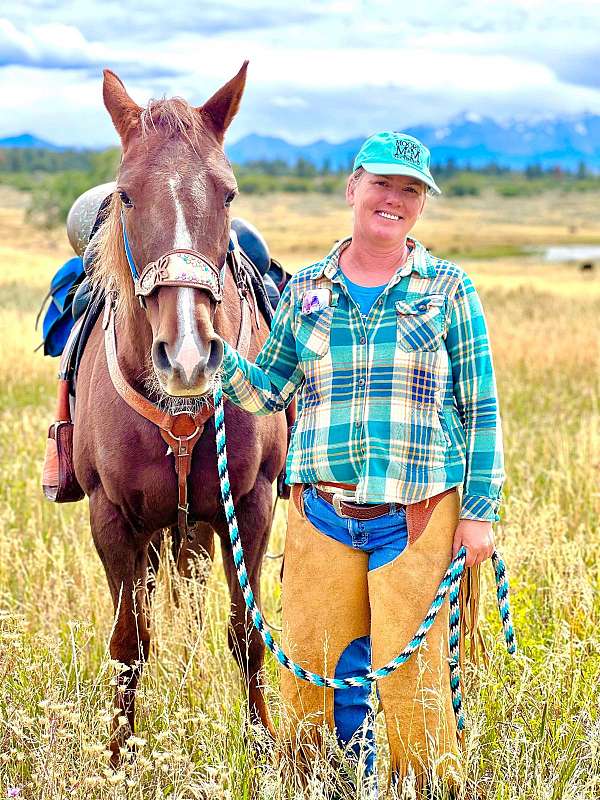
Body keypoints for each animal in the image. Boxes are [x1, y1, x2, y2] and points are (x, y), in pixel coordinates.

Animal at [72, 62, 288, 764]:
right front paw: (118, 757)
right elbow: (128, 644)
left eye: (228, 194)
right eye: (127, 196)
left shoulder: (250, 505)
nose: (188, 354)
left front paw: (263, 749)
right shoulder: (111, 519)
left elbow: (246, 633)